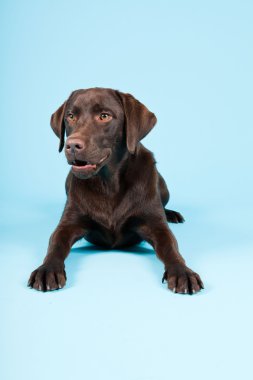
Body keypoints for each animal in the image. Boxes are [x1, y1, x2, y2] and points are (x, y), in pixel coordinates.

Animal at [27, 88, 204, 294]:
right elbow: (55, 244)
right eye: (70, 116)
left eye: (104, 116)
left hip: (163, 187)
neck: (109, 184)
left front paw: (183, 272)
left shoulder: (156, 225)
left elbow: (171, 247)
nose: (71, 145)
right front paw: (47, 269)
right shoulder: (68, 223)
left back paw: (172, 214)